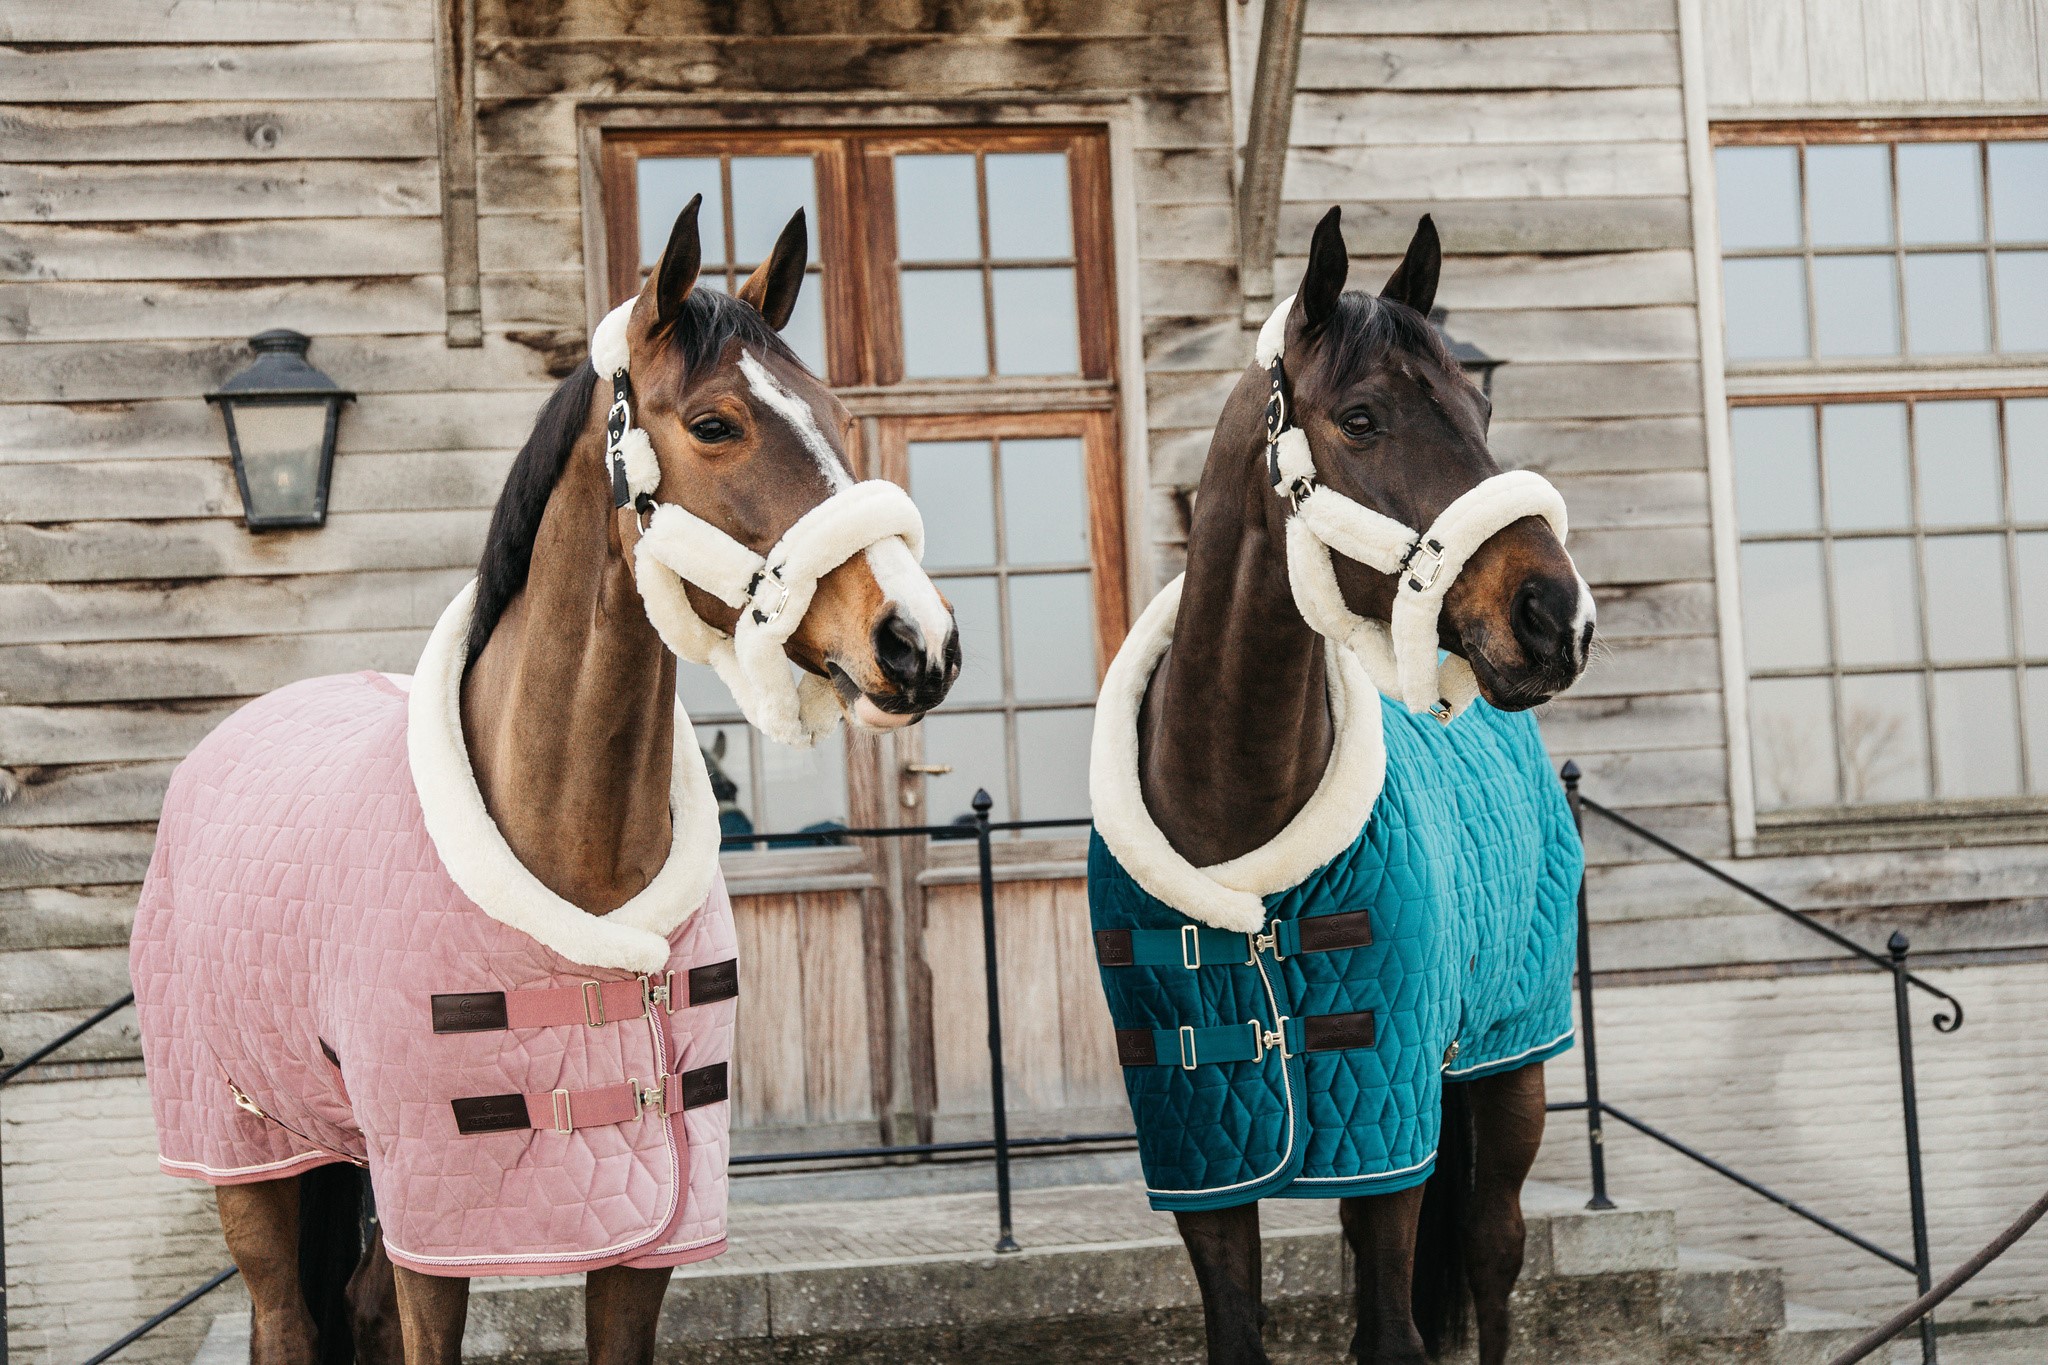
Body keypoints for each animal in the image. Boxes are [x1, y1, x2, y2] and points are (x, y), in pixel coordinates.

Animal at [129, 195, 958, 1365]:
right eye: (715, 424)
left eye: (839, 413)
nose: (915, 639)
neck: (575, 854)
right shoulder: (442, 1225)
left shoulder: (638, 1244)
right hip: (253, 1164)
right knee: (285, 1318)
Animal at [1085, 207, 1594, 1364]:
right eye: (1361, 417)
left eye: (1481, 406)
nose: (1556, 616)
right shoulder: (1203, 1151)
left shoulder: (1387, 1134)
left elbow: (1397, 1331)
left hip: (1510, 1066)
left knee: (1492, 1255)